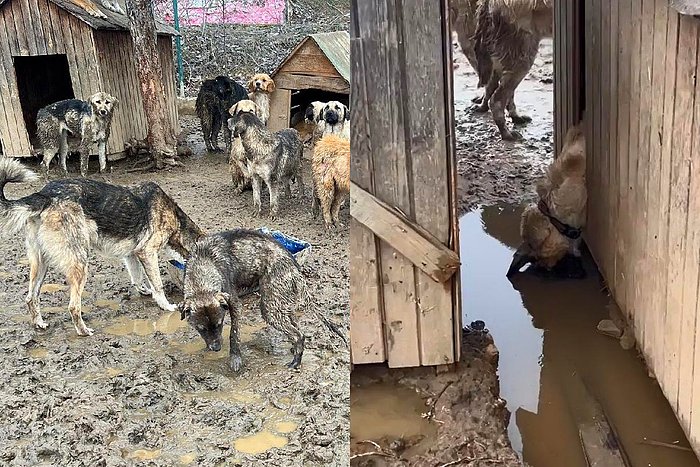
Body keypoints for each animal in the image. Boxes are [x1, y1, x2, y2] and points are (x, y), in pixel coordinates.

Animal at [0, 161, 204, 336]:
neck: (176, 220)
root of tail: (46, 194)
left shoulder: (132, 254)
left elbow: (137, 277)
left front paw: (145, 291)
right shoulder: (147, 252)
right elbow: (158, 285)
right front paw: (166, 305)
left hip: (40, 263)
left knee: (31, 297)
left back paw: (39, 323)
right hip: (80, 263)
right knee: (73, 306)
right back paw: (83, 331)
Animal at [179, 230, 346, 372]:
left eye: (219, 325)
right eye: (201, 329)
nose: (216, 348)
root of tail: (295, 269)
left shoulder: (234, 304)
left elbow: (234, 334)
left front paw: (235, 358)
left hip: (269, 308)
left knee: (298, 335)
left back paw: (296, 361)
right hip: (281, 303)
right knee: (297, 328)